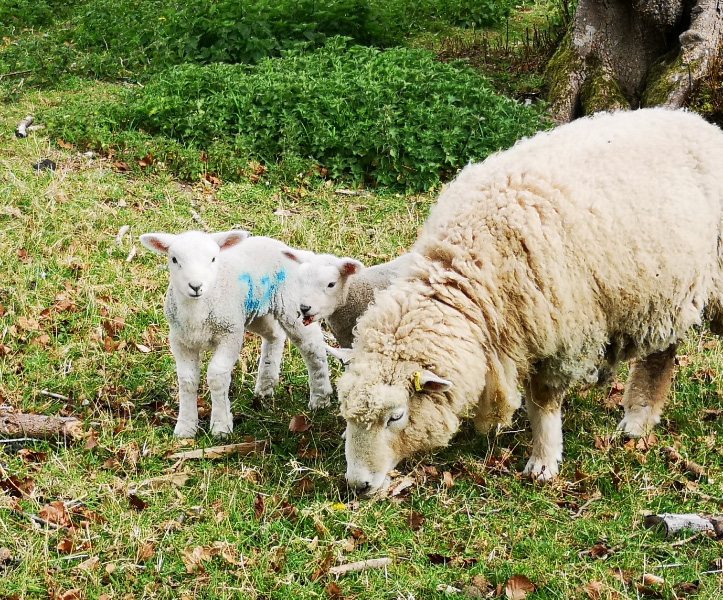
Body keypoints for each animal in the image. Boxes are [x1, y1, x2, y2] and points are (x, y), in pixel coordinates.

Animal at [139, 230, 333, 438]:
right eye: (174, 259)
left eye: (213, 259)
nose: (196, 286)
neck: (198, 312)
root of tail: (291, 250)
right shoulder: (180, 340)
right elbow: (187, 380)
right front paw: (186, 428)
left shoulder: (230, 333)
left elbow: (217, 376)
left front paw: (221, 427)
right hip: (257, 313)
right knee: (275, 336)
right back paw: (265, 387)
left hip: (291, 306)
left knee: (312, 348)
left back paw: (320, 399)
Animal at [333, 108, 723, 496]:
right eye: (346, 412)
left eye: (396, 416)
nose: (357, 484)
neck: (472, 262)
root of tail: (699, 122)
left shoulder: (564, 339)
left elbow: (544, 401)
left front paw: (544, 461)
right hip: (668, 291)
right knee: (663, 353)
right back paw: (639, 418)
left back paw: (638, 419)